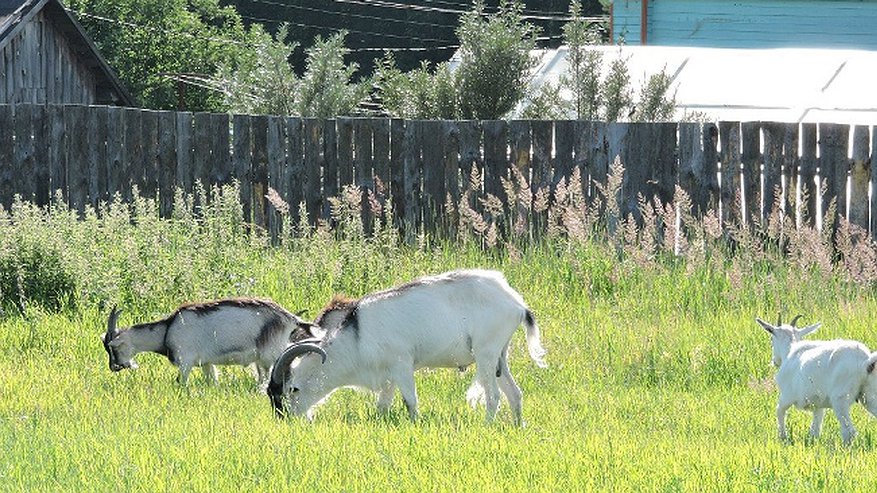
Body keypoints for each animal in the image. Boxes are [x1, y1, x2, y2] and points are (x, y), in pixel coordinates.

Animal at [101, 296, 318, 384]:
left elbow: (180, 383)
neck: (167, 330)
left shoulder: (185, 361)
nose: (114, 367)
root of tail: (290, 318)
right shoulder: (206, 363)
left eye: (113, 349)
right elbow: (211, 381)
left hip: (270, 355)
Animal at [266, 268, 548, 424]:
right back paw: (518, 427)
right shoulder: (388, 375)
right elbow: (382, 405)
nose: (287, 420)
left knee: (494, 397)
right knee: (514, 394)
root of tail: (517, 303)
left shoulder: (402, 365)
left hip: (486, 354)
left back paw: (486, 426)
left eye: (292, 389)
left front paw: (415, 424)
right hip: (500, 357)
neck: (359, 335)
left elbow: (410, 401)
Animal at [752, 316, 876, 446]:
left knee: (849, 431)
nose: (774, 361)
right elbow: (815, 428)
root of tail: (865, 361)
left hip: (840, 399)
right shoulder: (818, 405)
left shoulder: (787, 396)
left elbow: (779, 411)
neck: (790, 352)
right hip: (869, 394)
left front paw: (783, 438)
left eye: (771, 338)